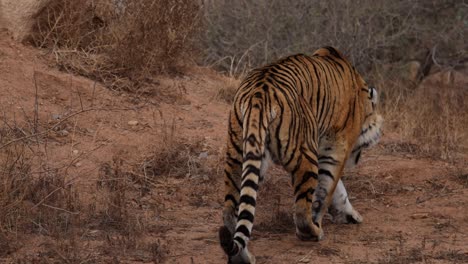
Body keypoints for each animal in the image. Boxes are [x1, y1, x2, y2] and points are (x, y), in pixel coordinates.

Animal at [219, 46, 384, 262]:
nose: (357, 159)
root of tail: (258, 94)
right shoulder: (335, 149)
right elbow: (327, 190)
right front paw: (332, 216)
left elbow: (338, 189)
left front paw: (350, 215)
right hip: (304, 155)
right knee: (301, 212)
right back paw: (314, 231)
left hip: (238, 155)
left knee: (232, 212)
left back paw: (243, 257)